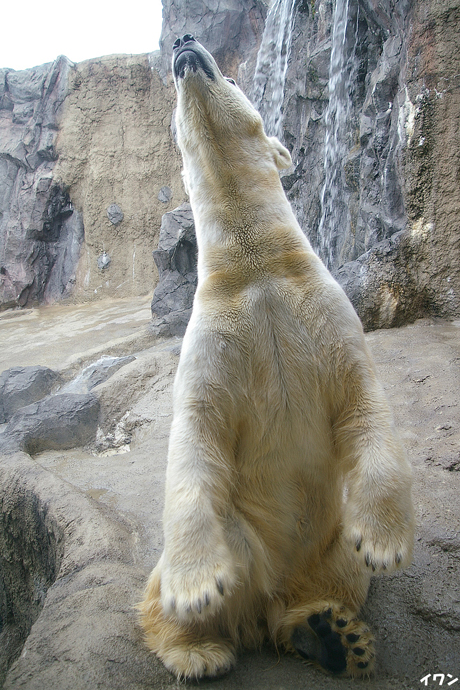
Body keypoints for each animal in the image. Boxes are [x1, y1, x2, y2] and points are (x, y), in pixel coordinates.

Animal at [138, 36, 416, 676]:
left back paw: (332, 634)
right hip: (242, 536)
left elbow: (363, 398)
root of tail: (267, 602)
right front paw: (195, 586)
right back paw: (198, 647)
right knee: (181, 583)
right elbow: (195, 431)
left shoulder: (326, 315)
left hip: (328, 542)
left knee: (338, 577)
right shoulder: (213, 338)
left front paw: (385, 541)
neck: (257, 266)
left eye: (236, 78)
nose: (184, 42)